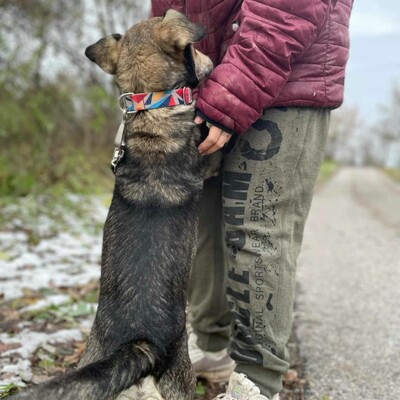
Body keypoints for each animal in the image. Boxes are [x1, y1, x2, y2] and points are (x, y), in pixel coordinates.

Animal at [11, 9, 212, 400]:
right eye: (194, 48)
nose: (211, 63)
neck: (151, 109)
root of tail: (139, 342)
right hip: (181, 380)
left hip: (92, 364)